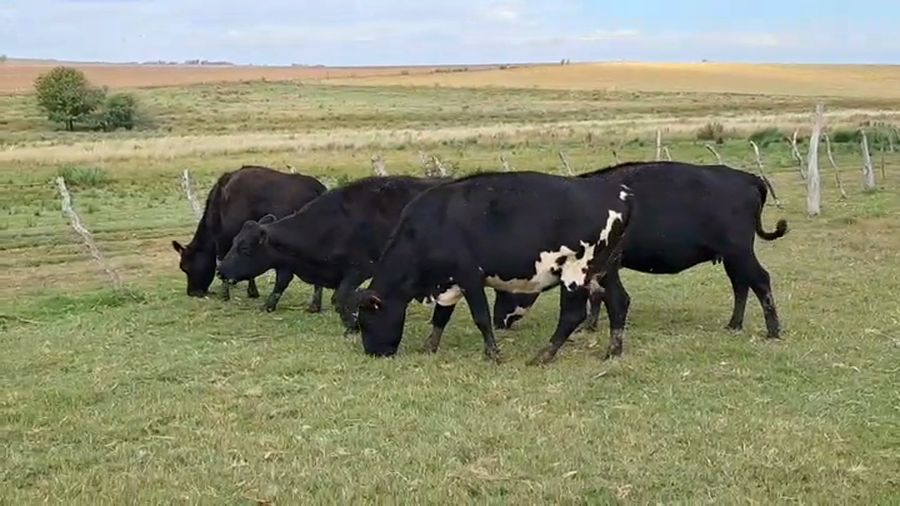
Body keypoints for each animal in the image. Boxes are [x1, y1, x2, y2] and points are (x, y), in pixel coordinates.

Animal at [171, 164, 328, 312]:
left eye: (185, 267)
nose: (192, 292)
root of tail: (318, 189)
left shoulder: (227, 237)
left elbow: (224, 259)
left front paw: (227, 294)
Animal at [215, 174, 452, 331]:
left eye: (245, 248)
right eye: (234, 242)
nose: (221, 271)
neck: (335, 224)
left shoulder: (359, 270)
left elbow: (342, 297)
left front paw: (353, 325)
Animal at [353, 170, 636, 366]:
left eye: (367, 321)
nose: (373, 353)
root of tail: (618, 193)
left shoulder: (469, 277)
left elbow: (481, 317)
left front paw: (493, 354)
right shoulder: (449, 283)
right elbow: (441, 317)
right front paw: (429, 347)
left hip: (576, 271)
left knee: (572, 315)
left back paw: (543, 355)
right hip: (606, 268)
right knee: (618, 302)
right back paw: (613, 351)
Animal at [491, 161, 788, 354]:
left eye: (505, 288)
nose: (498, 320)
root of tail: (748, 178)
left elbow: (601, 296)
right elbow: (597, 296)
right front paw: (590, 325)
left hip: (739, 251)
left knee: (761, 281)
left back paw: (773, 331)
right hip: (731, 256)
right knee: (741, 284)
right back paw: (734, 324)